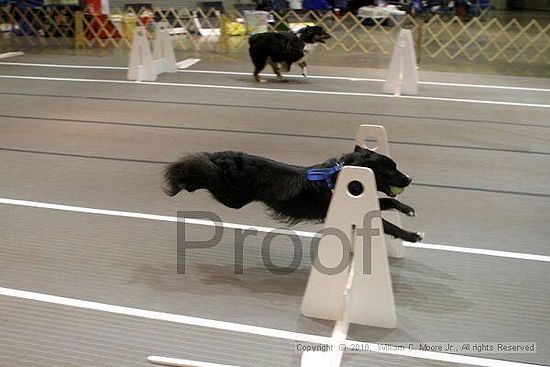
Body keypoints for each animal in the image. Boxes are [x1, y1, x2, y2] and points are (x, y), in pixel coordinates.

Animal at [166, 147, 424, 244]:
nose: (410, 179)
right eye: (391, 169)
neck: (338, 177)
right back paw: (181, 180)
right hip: (231, 196)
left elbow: (388, 201)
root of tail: (223, 156)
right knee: (201, 167)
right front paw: (412, 235)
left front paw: (408, 209)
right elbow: (388, 224)